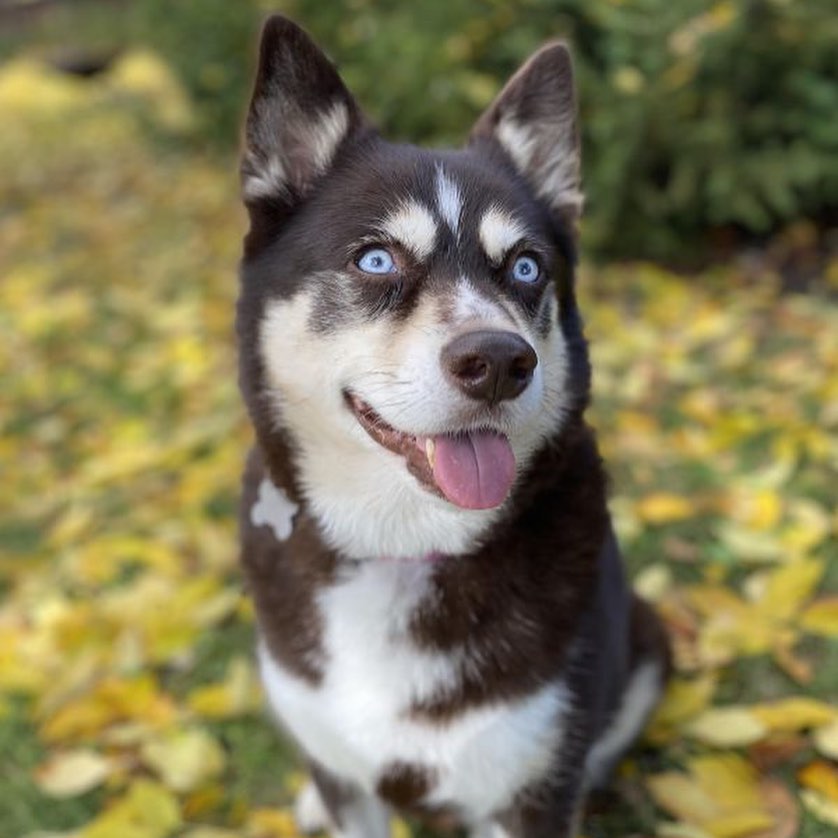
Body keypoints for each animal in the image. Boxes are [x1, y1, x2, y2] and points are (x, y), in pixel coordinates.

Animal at [236, 14, 668, 838]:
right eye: (376, 259)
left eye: (527, 268)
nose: (499, 362)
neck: (402, 548)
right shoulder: (345, 773)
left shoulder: (530, 789)